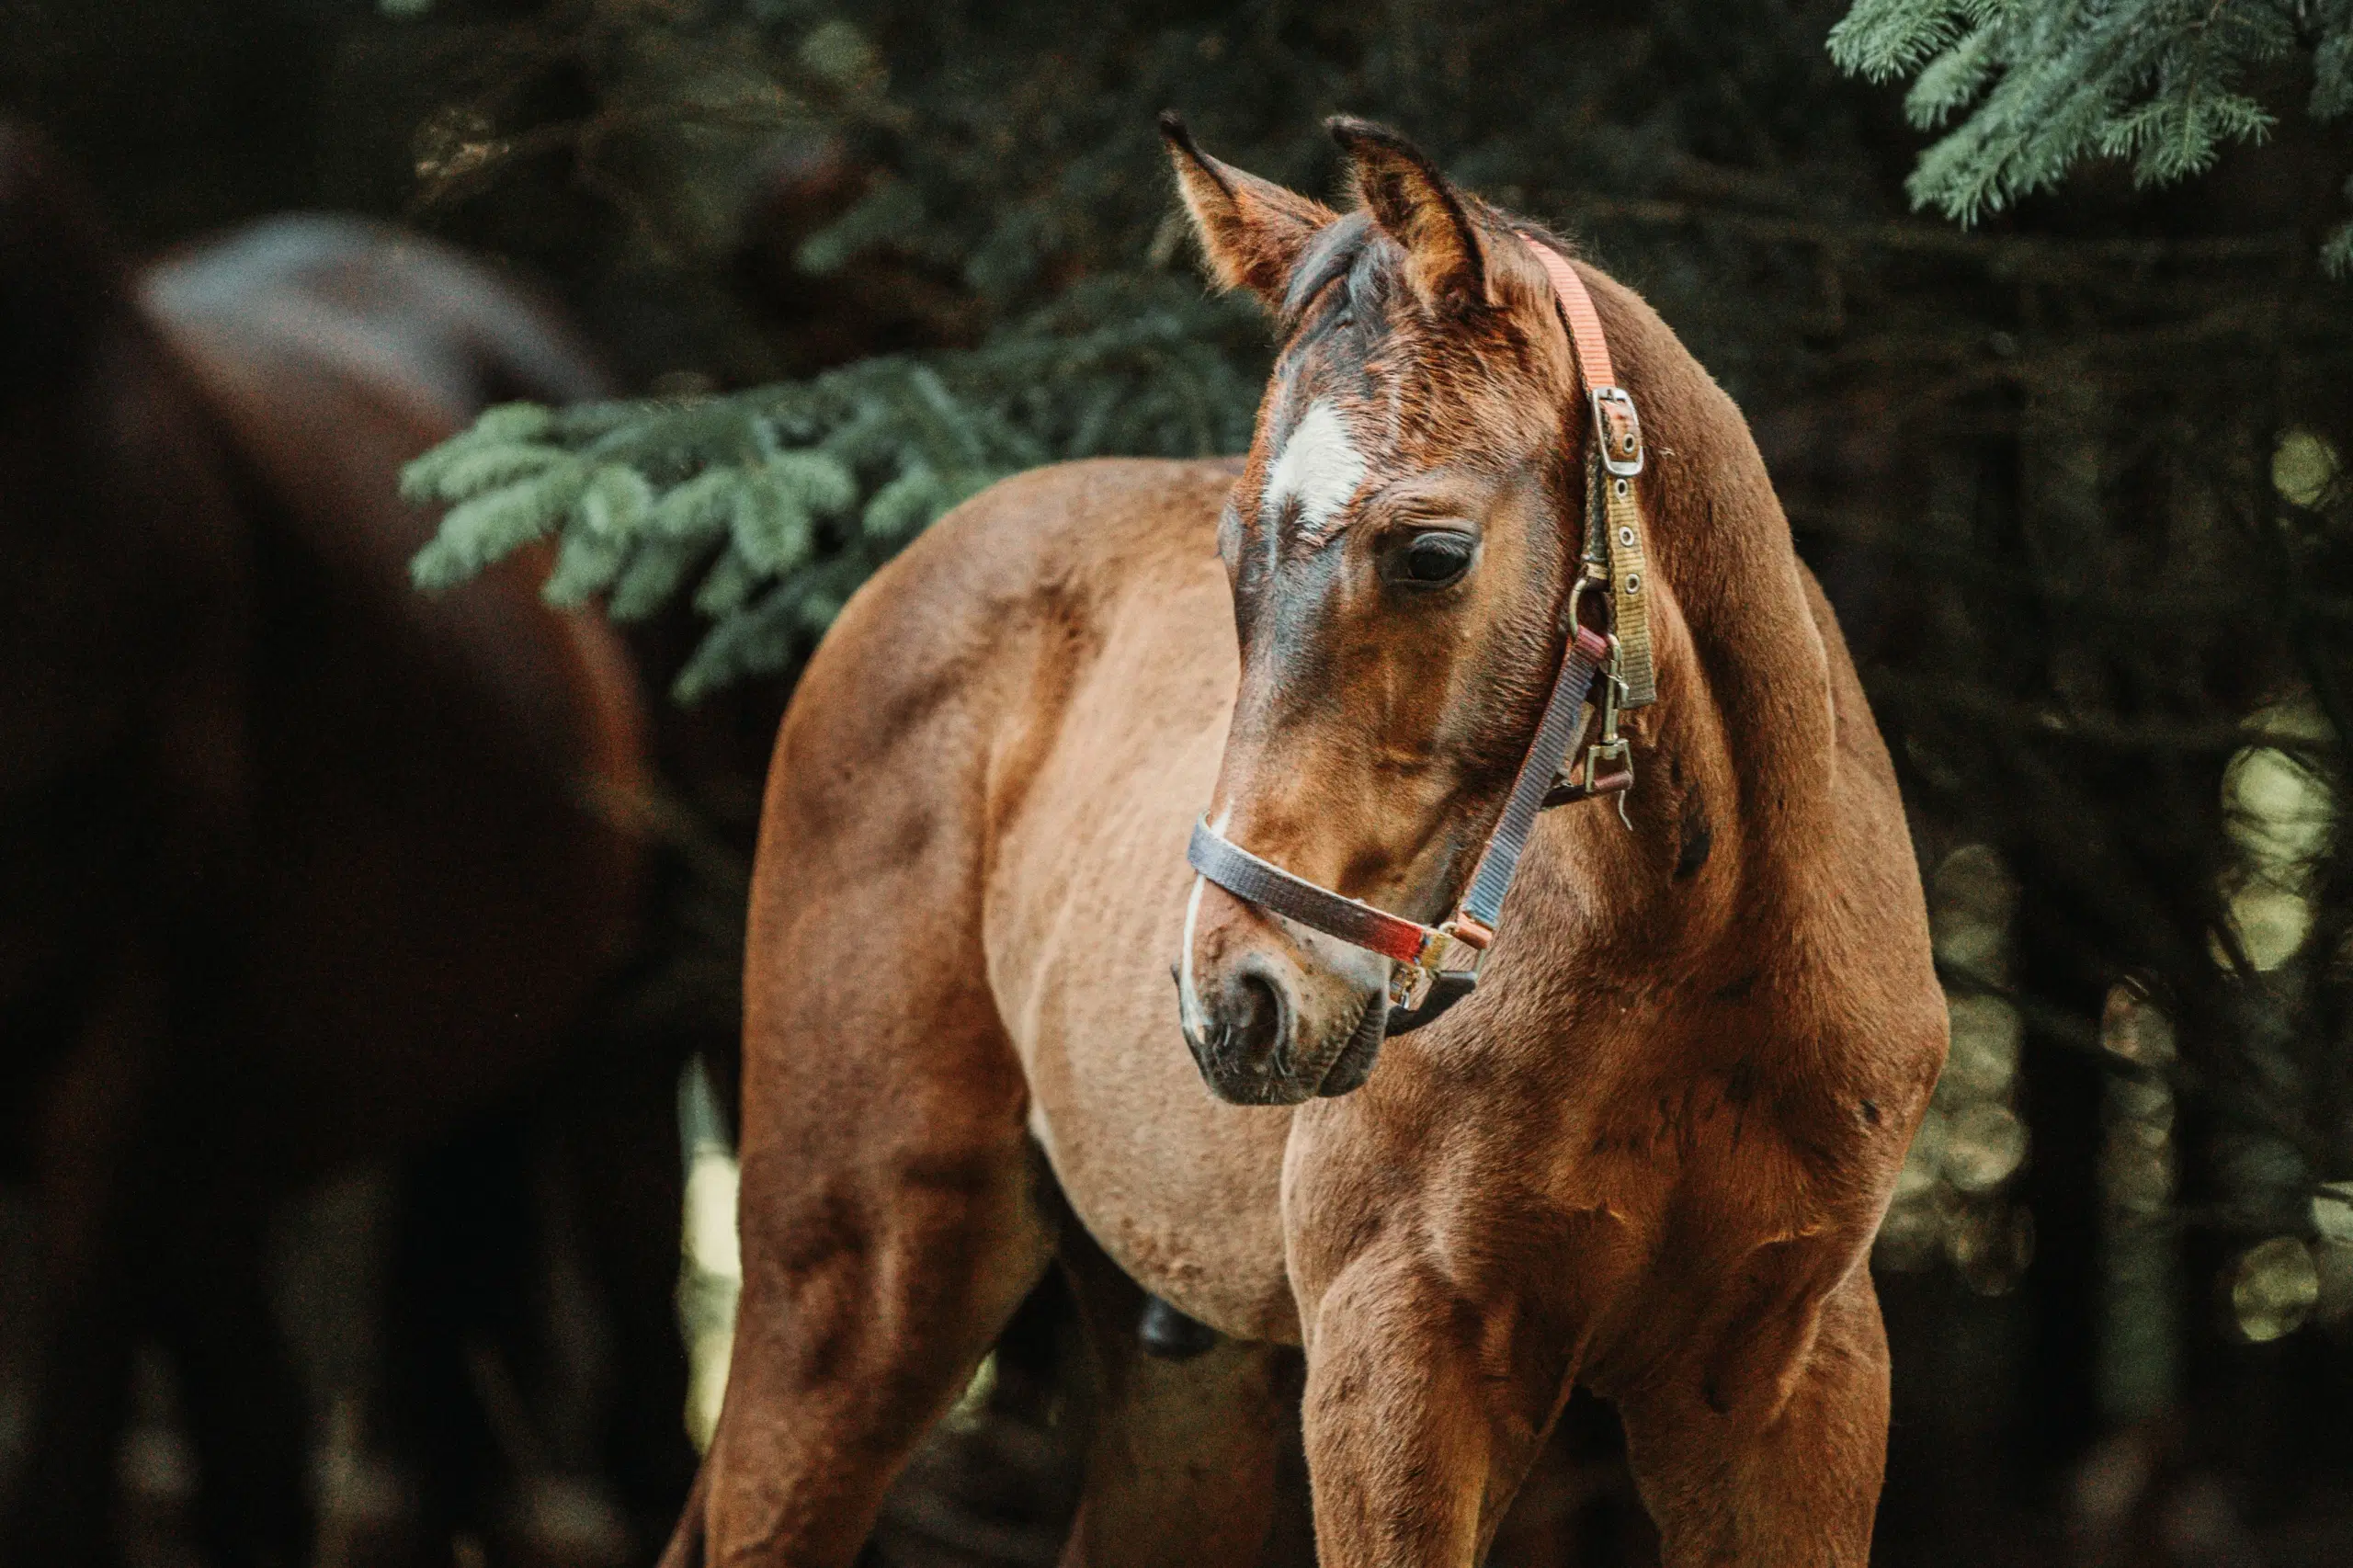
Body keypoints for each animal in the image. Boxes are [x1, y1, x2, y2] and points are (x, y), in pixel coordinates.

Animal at [682, 119, 1948, 1562]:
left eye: (1432, 552)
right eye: (1234, 552)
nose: (1232, 1000)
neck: (1699, 958)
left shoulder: (1792, 1378)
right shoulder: (1394, 1353)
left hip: (1183, 1378)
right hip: (847, 1288)